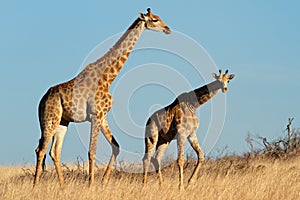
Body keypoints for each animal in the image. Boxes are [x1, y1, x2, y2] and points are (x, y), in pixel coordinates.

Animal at [33, 8, 171, 189]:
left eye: (159, 17)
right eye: (154, 20)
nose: (168, 29)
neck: (107, 77)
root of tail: (42, 100)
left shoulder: (102, 116)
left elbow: (116, 146)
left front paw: (103, 180)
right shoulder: (95, 116)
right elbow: (92, 151)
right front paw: (91, 184)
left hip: (63, 121)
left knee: (54, 151)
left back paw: (62, 187)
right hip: (50, 119)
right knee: (41, 149)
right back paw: (35, 185)